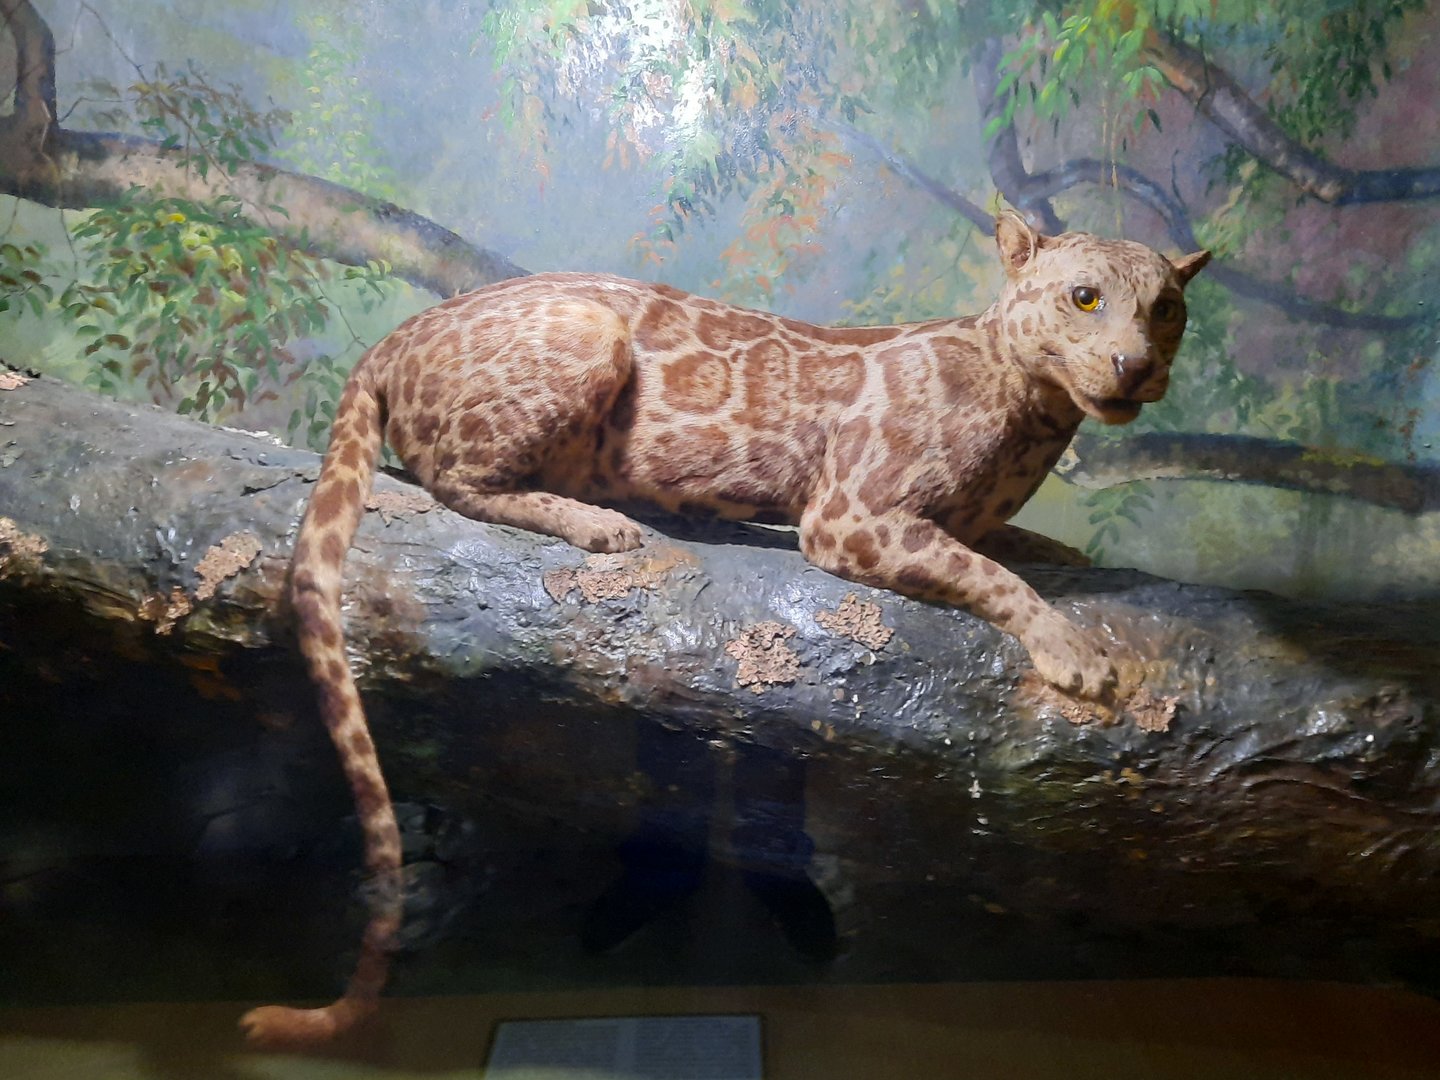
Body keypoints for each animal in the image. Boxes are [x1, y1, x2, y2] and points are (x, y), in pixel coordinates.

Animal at [239, 211, 1209, 1046]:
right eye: (1085, 296)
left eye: (1165, 307)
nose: (1134, 363)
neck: (1040, 413)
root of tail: (397, 334)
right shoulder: (852, 515)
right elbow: (995, 575)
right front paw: (1076, 653)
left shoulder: (959, 517)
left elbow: (1025, 548)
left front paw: (1070, 564)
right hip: (587, 334)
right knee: (451, 474)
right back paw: (598, 523)